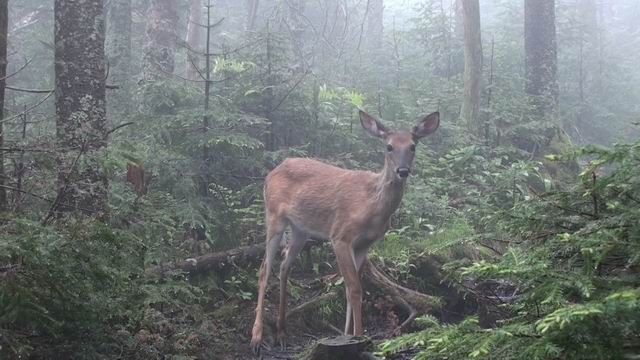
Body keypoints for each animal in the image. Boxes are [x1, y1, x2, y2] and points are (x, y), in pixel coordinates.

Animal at [250, 108, 440, 352]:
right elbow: (355, 288)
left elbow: (350, 290)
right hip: (274, 216)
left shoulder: (364, 245)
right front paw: (359, 338)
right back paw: (256, 337)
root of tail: (271, 172)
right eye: (389, 147)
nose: (403, 170)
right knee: (264, 269)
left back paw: (282, 333)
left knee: (284, 265)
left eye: (413, 146)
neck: (372, 205)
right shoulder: (340, 235)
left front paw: (348, 336)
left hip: (300, 229)